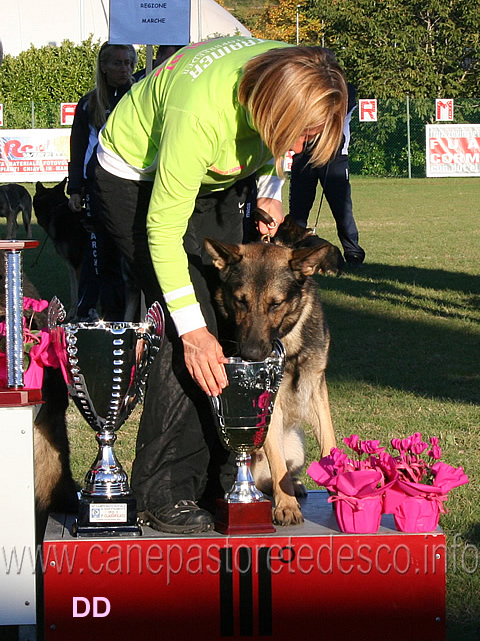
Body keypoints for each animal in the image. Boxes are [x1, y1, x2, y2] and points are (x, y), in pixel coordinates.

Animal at [33, 178, 89, 320]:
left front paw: (77, 317)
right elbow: (74, 293)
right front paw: (71, 314)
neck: (55, 210)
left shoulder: (78, 265)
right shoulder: (71, 267)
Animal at [205, 232, 338, 528]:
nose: (251, 355)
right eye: (241, 301)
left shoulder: (316, 388)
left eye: (275, 304)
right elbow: (277, 464)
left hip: (297, 447)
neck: (287, 339)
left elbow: (329, 442)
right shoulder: (269, 405)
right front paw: (286, 506)